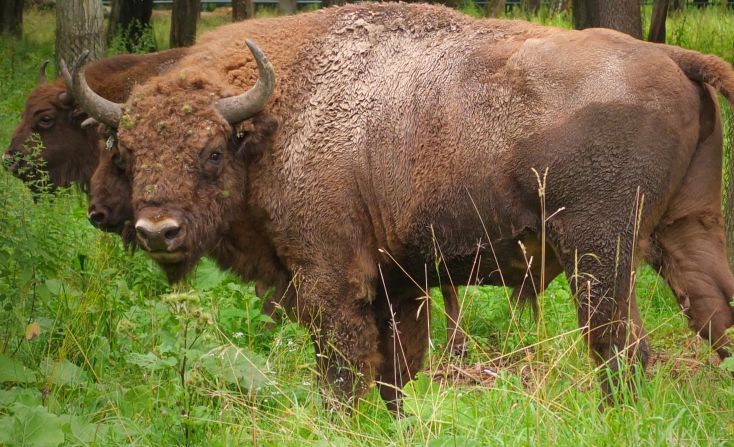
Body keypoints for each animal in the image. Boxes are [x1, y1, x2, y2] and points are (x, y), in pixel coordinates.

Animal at [64, 3, 734, 410]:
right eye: (125, 150)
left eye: (210, 152)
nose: (157, 230)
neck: (275, 118)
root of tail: (672, 55)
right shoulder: (399, 283)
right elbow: (396, 369)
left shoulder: (331, 279)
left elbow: (342, 372)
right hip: (686, 232)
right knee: (713, 317)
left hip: (598, 256)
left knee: (622, 350)